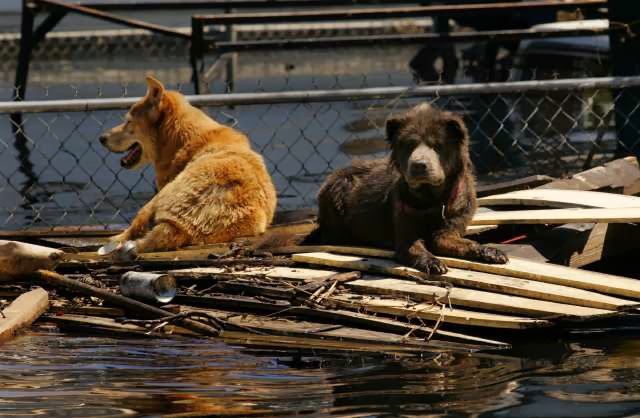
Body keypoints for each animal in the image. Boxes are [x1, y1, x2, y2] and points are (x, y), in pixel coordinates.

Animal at [100, 75, 278, 253]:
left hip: (161, 195)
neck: (184, 140)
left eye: (129, 122)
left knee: (135, 227)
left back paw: (115, 240)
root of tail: (182, 228)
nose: (101, 138)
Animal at [312, 103, 508, 274]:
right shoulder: (405, 225)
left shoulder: (452, 222)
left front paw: (492, 252)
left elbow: (460, 242)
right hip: (338, 188)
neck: (432, 199)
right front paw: (433, 263)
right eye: (409, 145)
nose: (419, 165)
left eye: (437, 145)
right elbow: (414, 247)